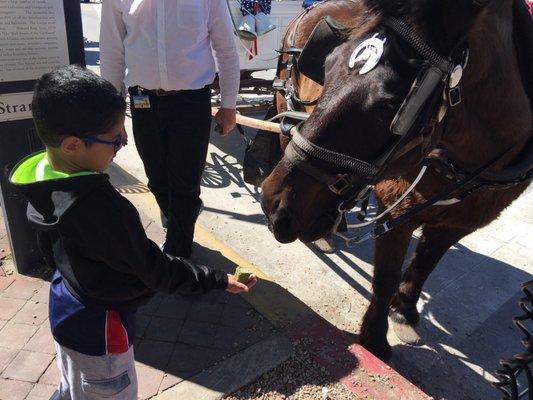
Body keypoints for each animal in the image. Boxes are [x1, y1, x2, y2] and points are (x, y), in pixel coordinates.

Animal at [262, 0, 532, 360]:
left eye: (389, 105)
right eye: (327, 67)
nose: (273, 202)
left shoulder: (458, 222)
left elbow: (424, 265)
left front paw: (403, 312)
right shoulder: (397, 209)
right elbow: (386, 278)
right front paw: (374, 340)